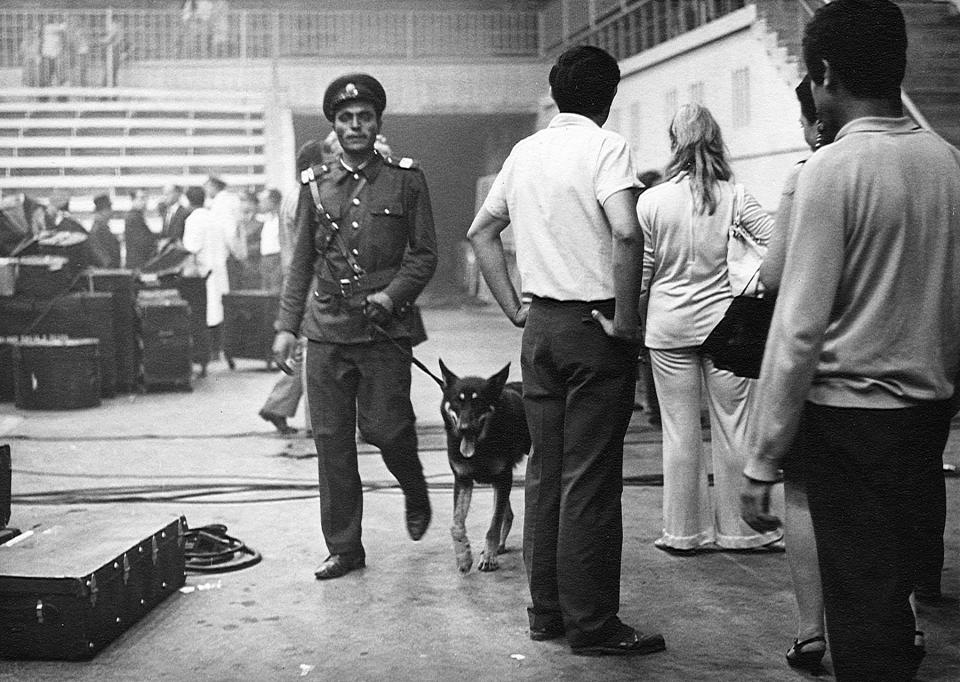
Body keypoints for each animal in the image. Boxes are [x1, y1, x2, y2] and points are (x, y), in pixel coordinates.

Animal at [438, 358, 528, 572]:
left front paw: (488, 557)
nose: (464, 429)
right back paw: (500, 545)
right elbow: (456, 524)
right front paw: (463, 556)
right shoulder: (463, 480)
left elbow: (493, 524)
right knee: (507, 513)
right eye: (458, 401)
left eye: (478, 402)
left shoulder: (503, 478)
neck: (481, 445)